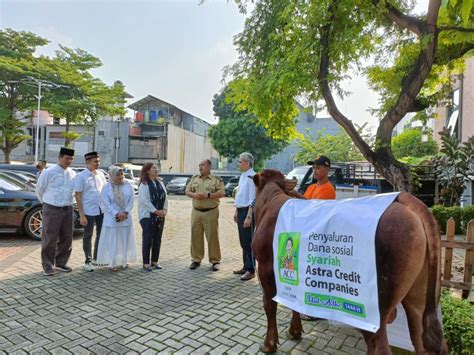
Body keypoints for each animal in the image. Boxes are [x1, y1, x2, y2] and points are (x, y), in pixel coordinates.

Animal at [252, 171, 448, 354]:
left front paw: (269, 344)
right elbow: (294, 304)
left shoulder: (265, 268)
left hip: (377, 308)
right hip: (419, 298)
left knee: (379, 345)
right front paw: (295, 331)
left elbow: (269, 305)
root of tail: (404, 199)